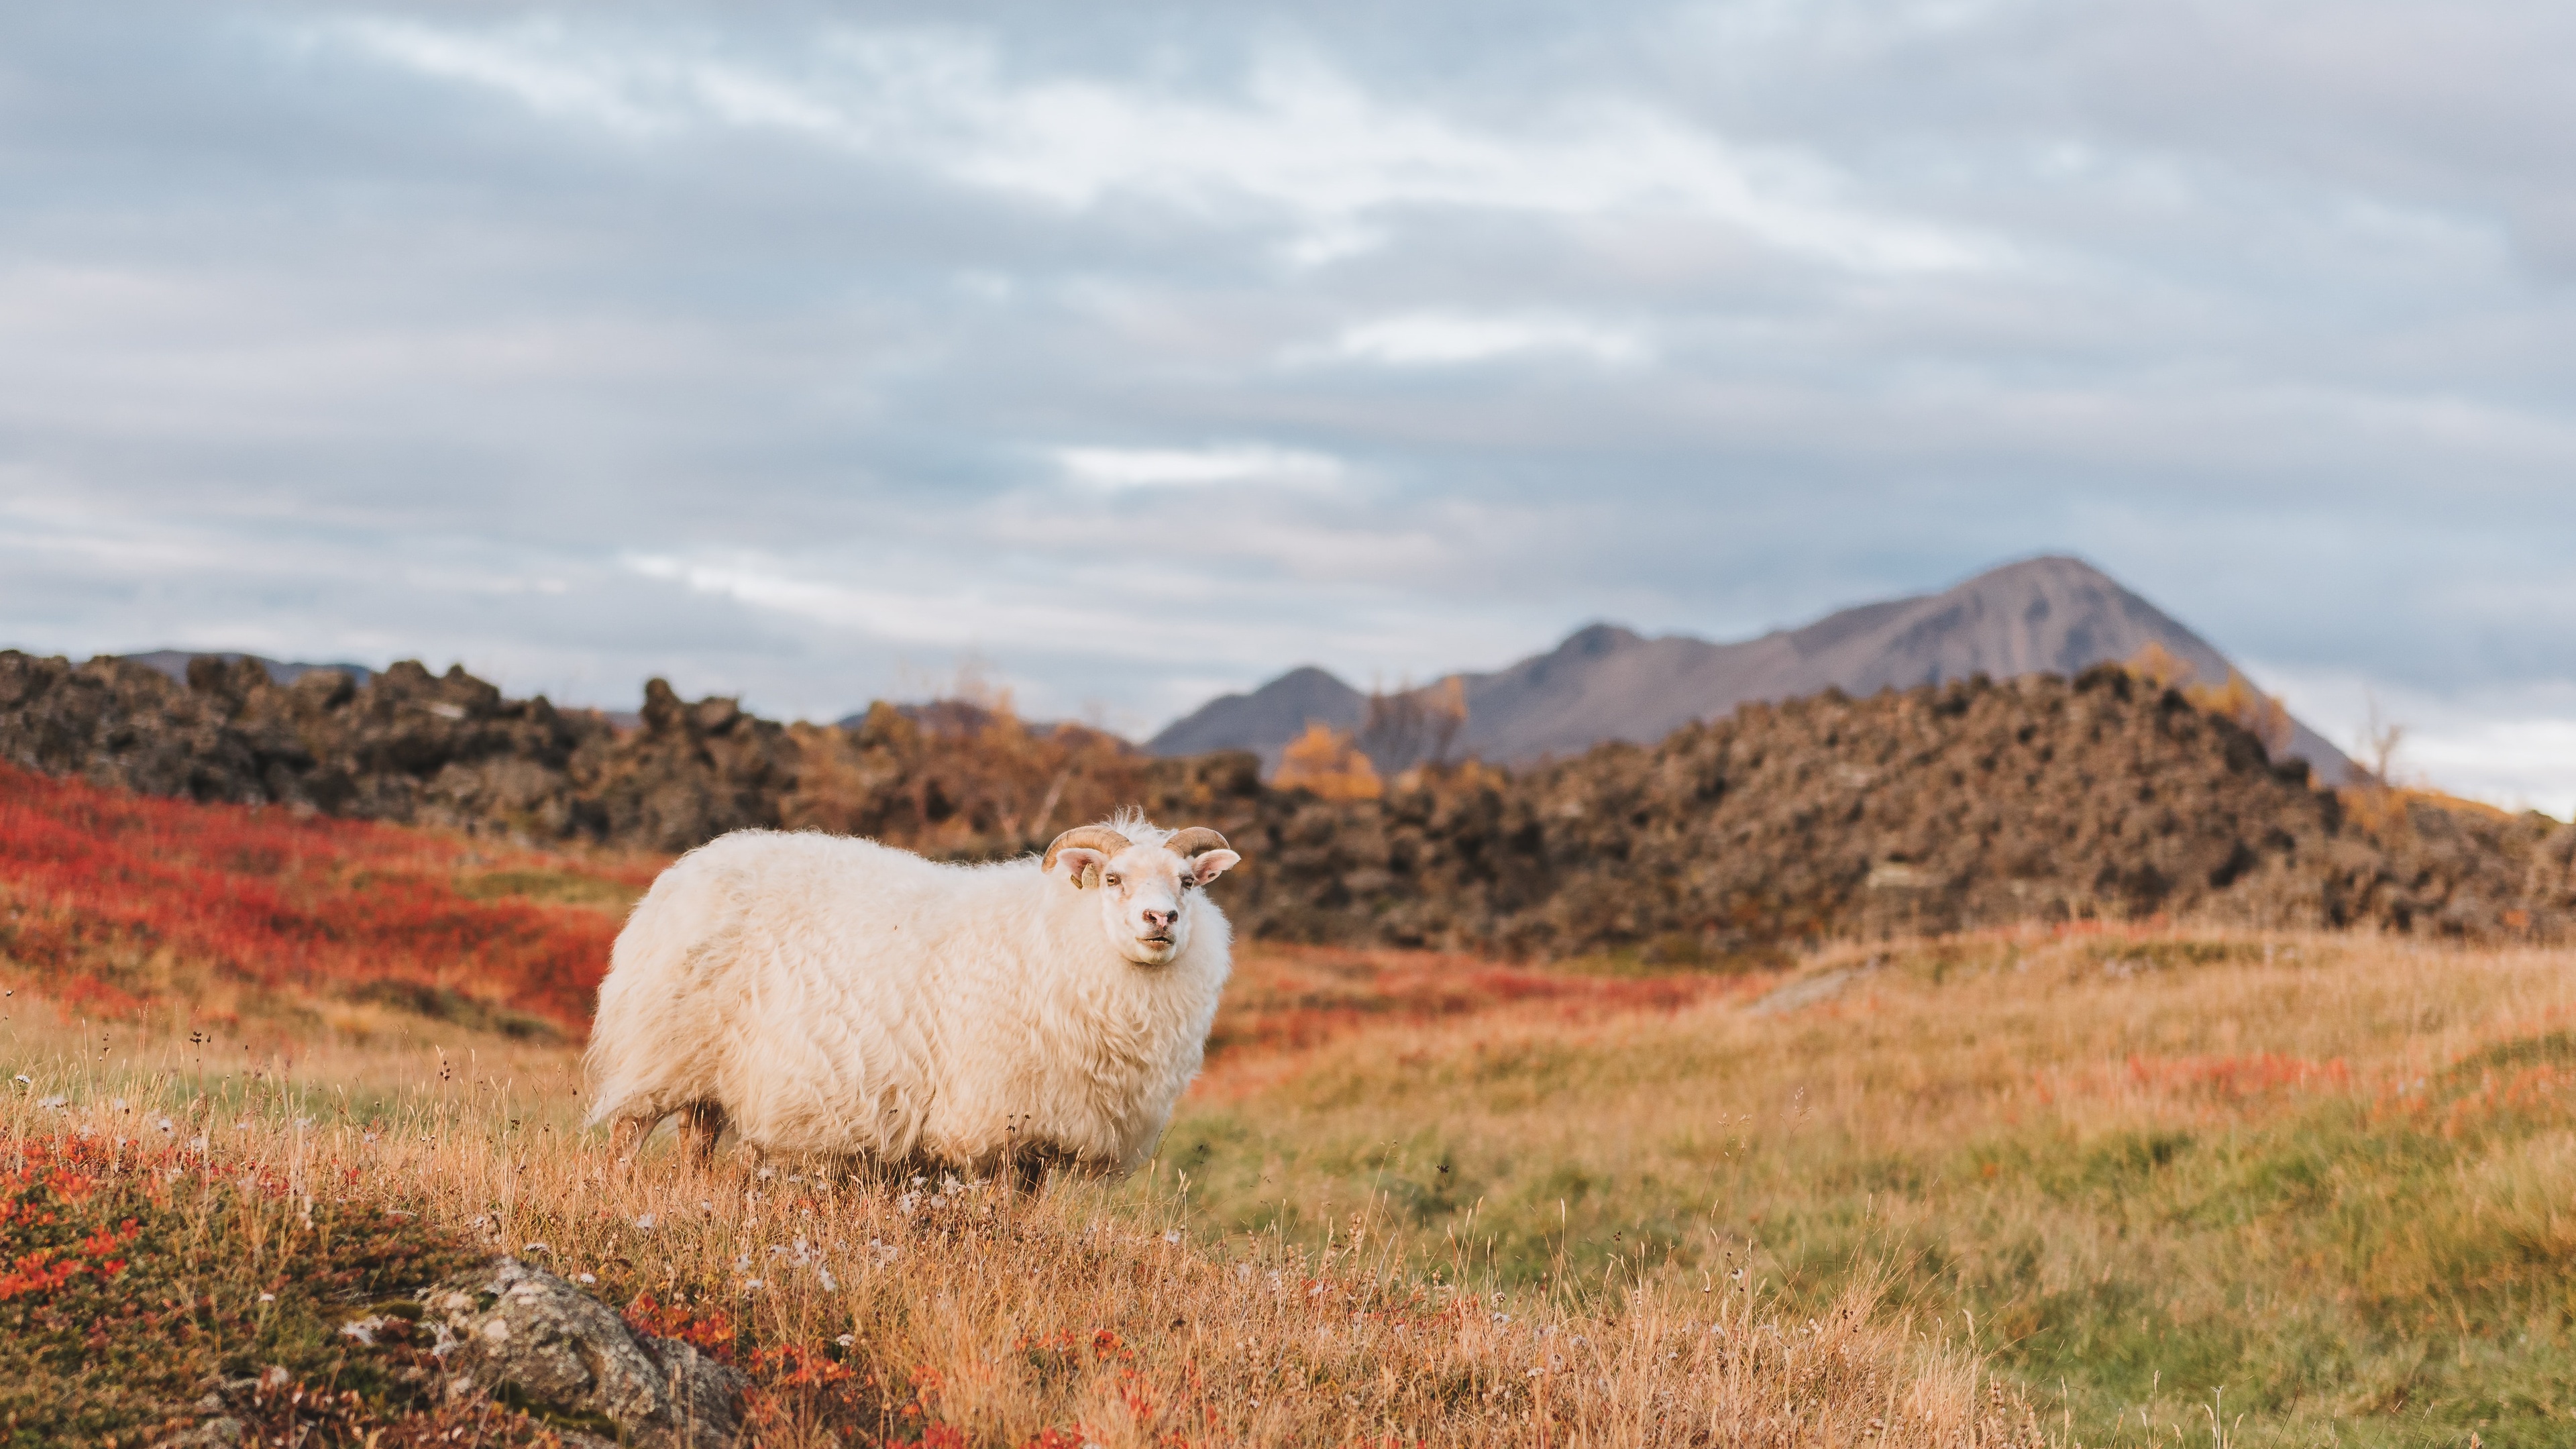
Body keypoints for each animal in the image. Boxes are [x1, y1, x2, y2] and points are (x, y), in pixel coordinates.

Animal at [582, 814, 1236, 1175]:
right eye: (1113, 879)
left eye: (1187, 882)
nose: (1161, 919)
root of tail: (684, 869)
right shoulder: (996, 1118)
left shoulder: (1043, 1132)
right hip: (662, 1048)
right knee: (625, 1137)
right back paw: (614, 1190)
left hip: (709, 1071)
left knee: (694, 1143)